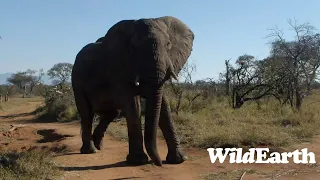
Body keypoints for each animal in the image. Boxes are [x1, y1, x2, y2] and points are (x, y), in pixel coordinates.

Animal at [71, 16, 194, 167]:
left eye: (168, 45)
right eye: (132, 48)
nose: (159, 163)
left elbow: (164, 106)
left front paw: (179, 160)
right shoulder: (119, 67)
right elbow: (133, 104)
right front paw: (138, 161)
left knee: (111, 114)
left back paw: (98, 146)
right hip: (76, 80)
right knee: (86, 113)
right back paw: (90, 150)